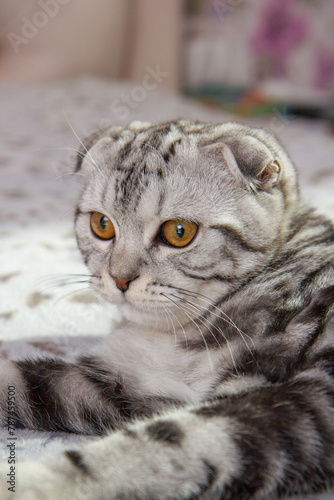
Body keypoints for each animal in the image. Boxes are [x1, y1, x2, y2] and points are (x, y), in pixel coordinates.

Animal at [0, 119, 334, 498]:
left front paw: (30, 484)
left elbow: (154, 446)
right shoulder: (124, 386)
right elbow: (23, 383)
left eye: (179, 232)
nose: (120, 278)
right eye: (102, 224)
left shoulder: (302, 404)